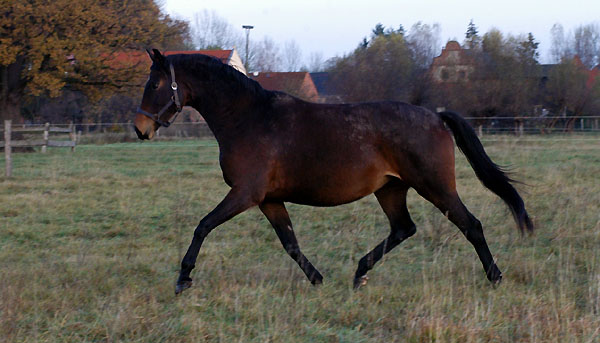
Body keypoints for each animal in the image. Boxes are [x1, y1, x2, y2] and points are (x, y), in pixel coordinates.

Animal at [134, 49, 532, 296]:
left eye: (154, 84)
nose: (140, 129)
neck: (248, 118)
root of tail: (436, 116)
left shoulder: (246, 194)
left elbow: (202, 226)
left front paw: (183, 278)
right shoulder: (269, 199)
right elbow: (290, 243)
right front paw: (317, 280)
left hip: (435, 187)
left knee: (471, 225)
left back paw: (495, 277)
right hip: (391, 189)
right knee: (403, 228)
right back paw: (359, 273)